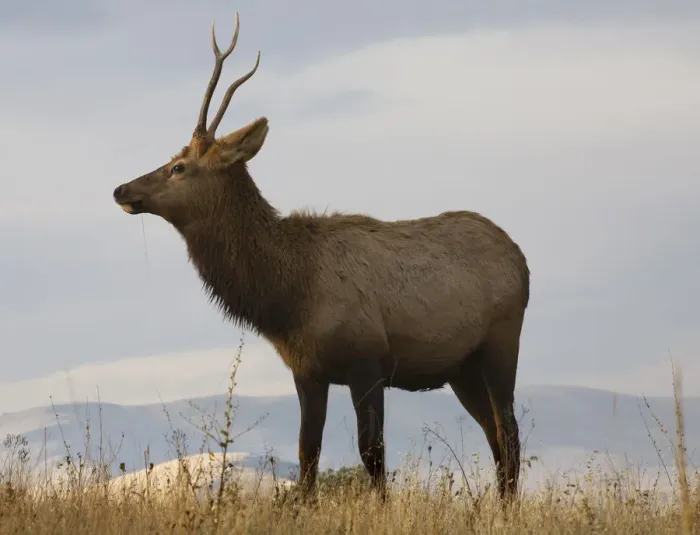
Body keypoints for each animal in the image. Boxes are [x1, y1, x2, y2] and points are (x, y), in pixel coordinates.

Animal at [112, 11, 530, 503]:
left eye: (179, 167)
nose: (121, 189)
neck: (288, 298)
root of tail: (521, 259)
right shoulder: (307, 371)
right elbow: (307, 456)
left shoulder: (368, 361)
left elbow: (372, 455)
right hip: (460, 367)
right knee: (494, 435)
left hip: (502, 342)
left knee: (509, 433)